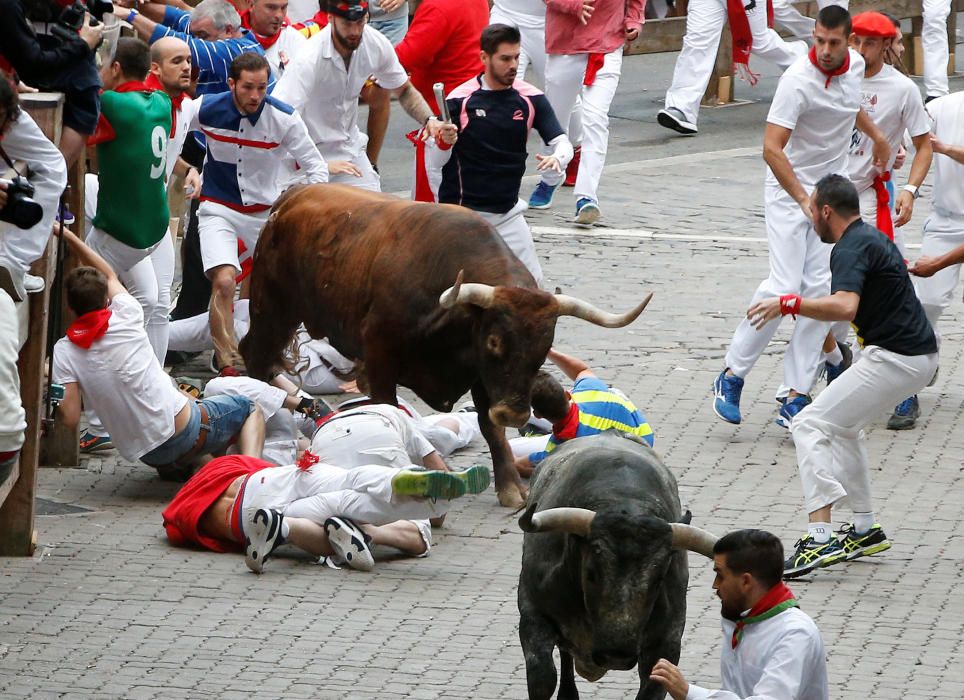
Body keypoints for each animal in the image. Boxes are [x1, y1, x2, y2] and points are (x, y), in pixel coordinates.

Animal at [238, 183, 652, 506]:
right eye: (495, 341)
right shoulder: (381, 358)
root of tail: (293, 195)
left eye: (543, 349)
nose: (515, 413)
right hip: (272, 308)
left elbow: (489, 427)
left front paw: (510, 488)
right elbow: (393, 413)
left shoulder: (482, 378)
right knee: (255, 355)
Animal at [520, 432, 716, 700]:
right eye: (591, 574)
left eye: (659, 580)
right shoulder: (532, 614)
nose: (616, 654)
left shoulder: (667, 640)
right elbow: (543, 678)